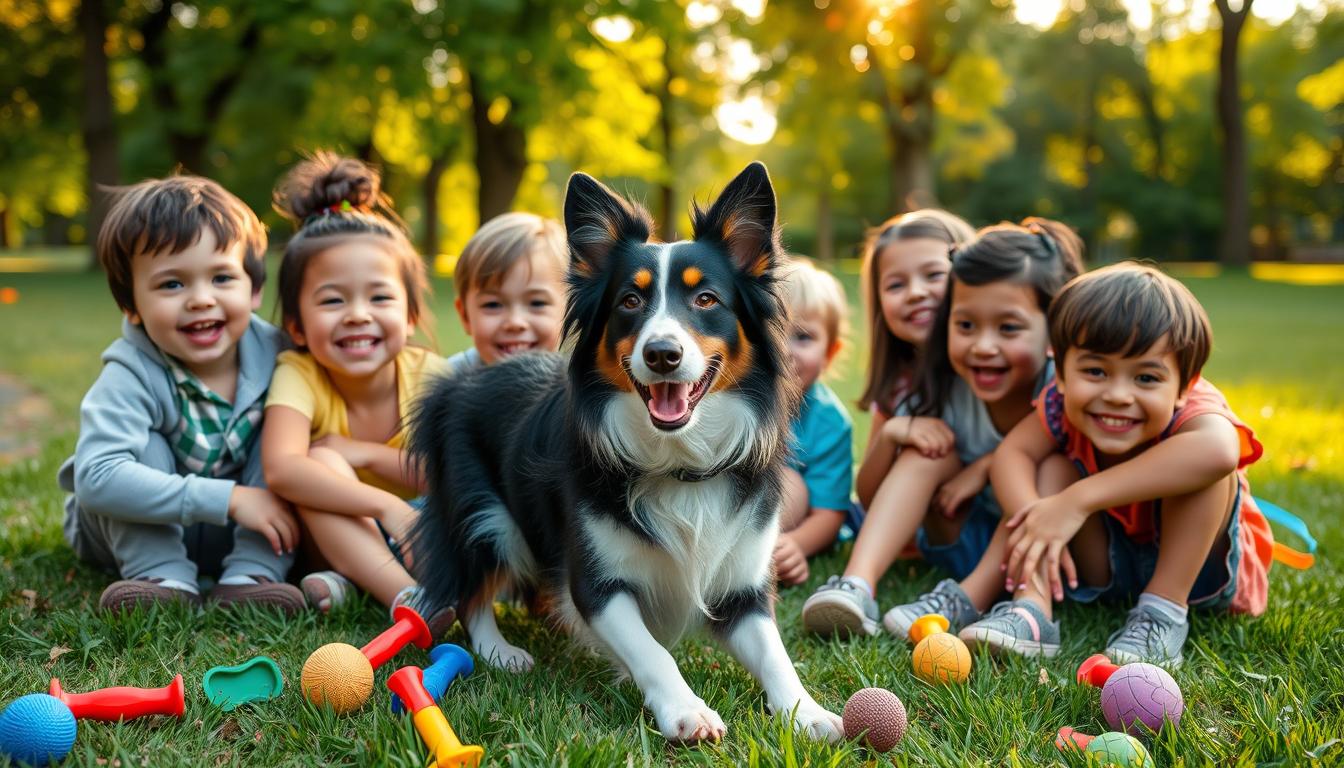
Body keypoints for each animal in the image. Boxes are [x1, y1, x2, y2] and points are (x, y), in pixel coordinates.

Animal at [405, 164, 838, 747]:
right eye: (630, 302)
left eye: (706, 300)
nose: (662, 354)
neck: (680, 464)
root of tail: (458, 382)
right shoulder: (598, 583)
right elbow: (652, 652)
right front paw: (686, 710)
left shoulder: (743, 585)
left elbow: (775, 655)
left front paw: (807, 712)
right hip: (484, 516)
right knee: (474, 589)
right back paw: (501, 650)